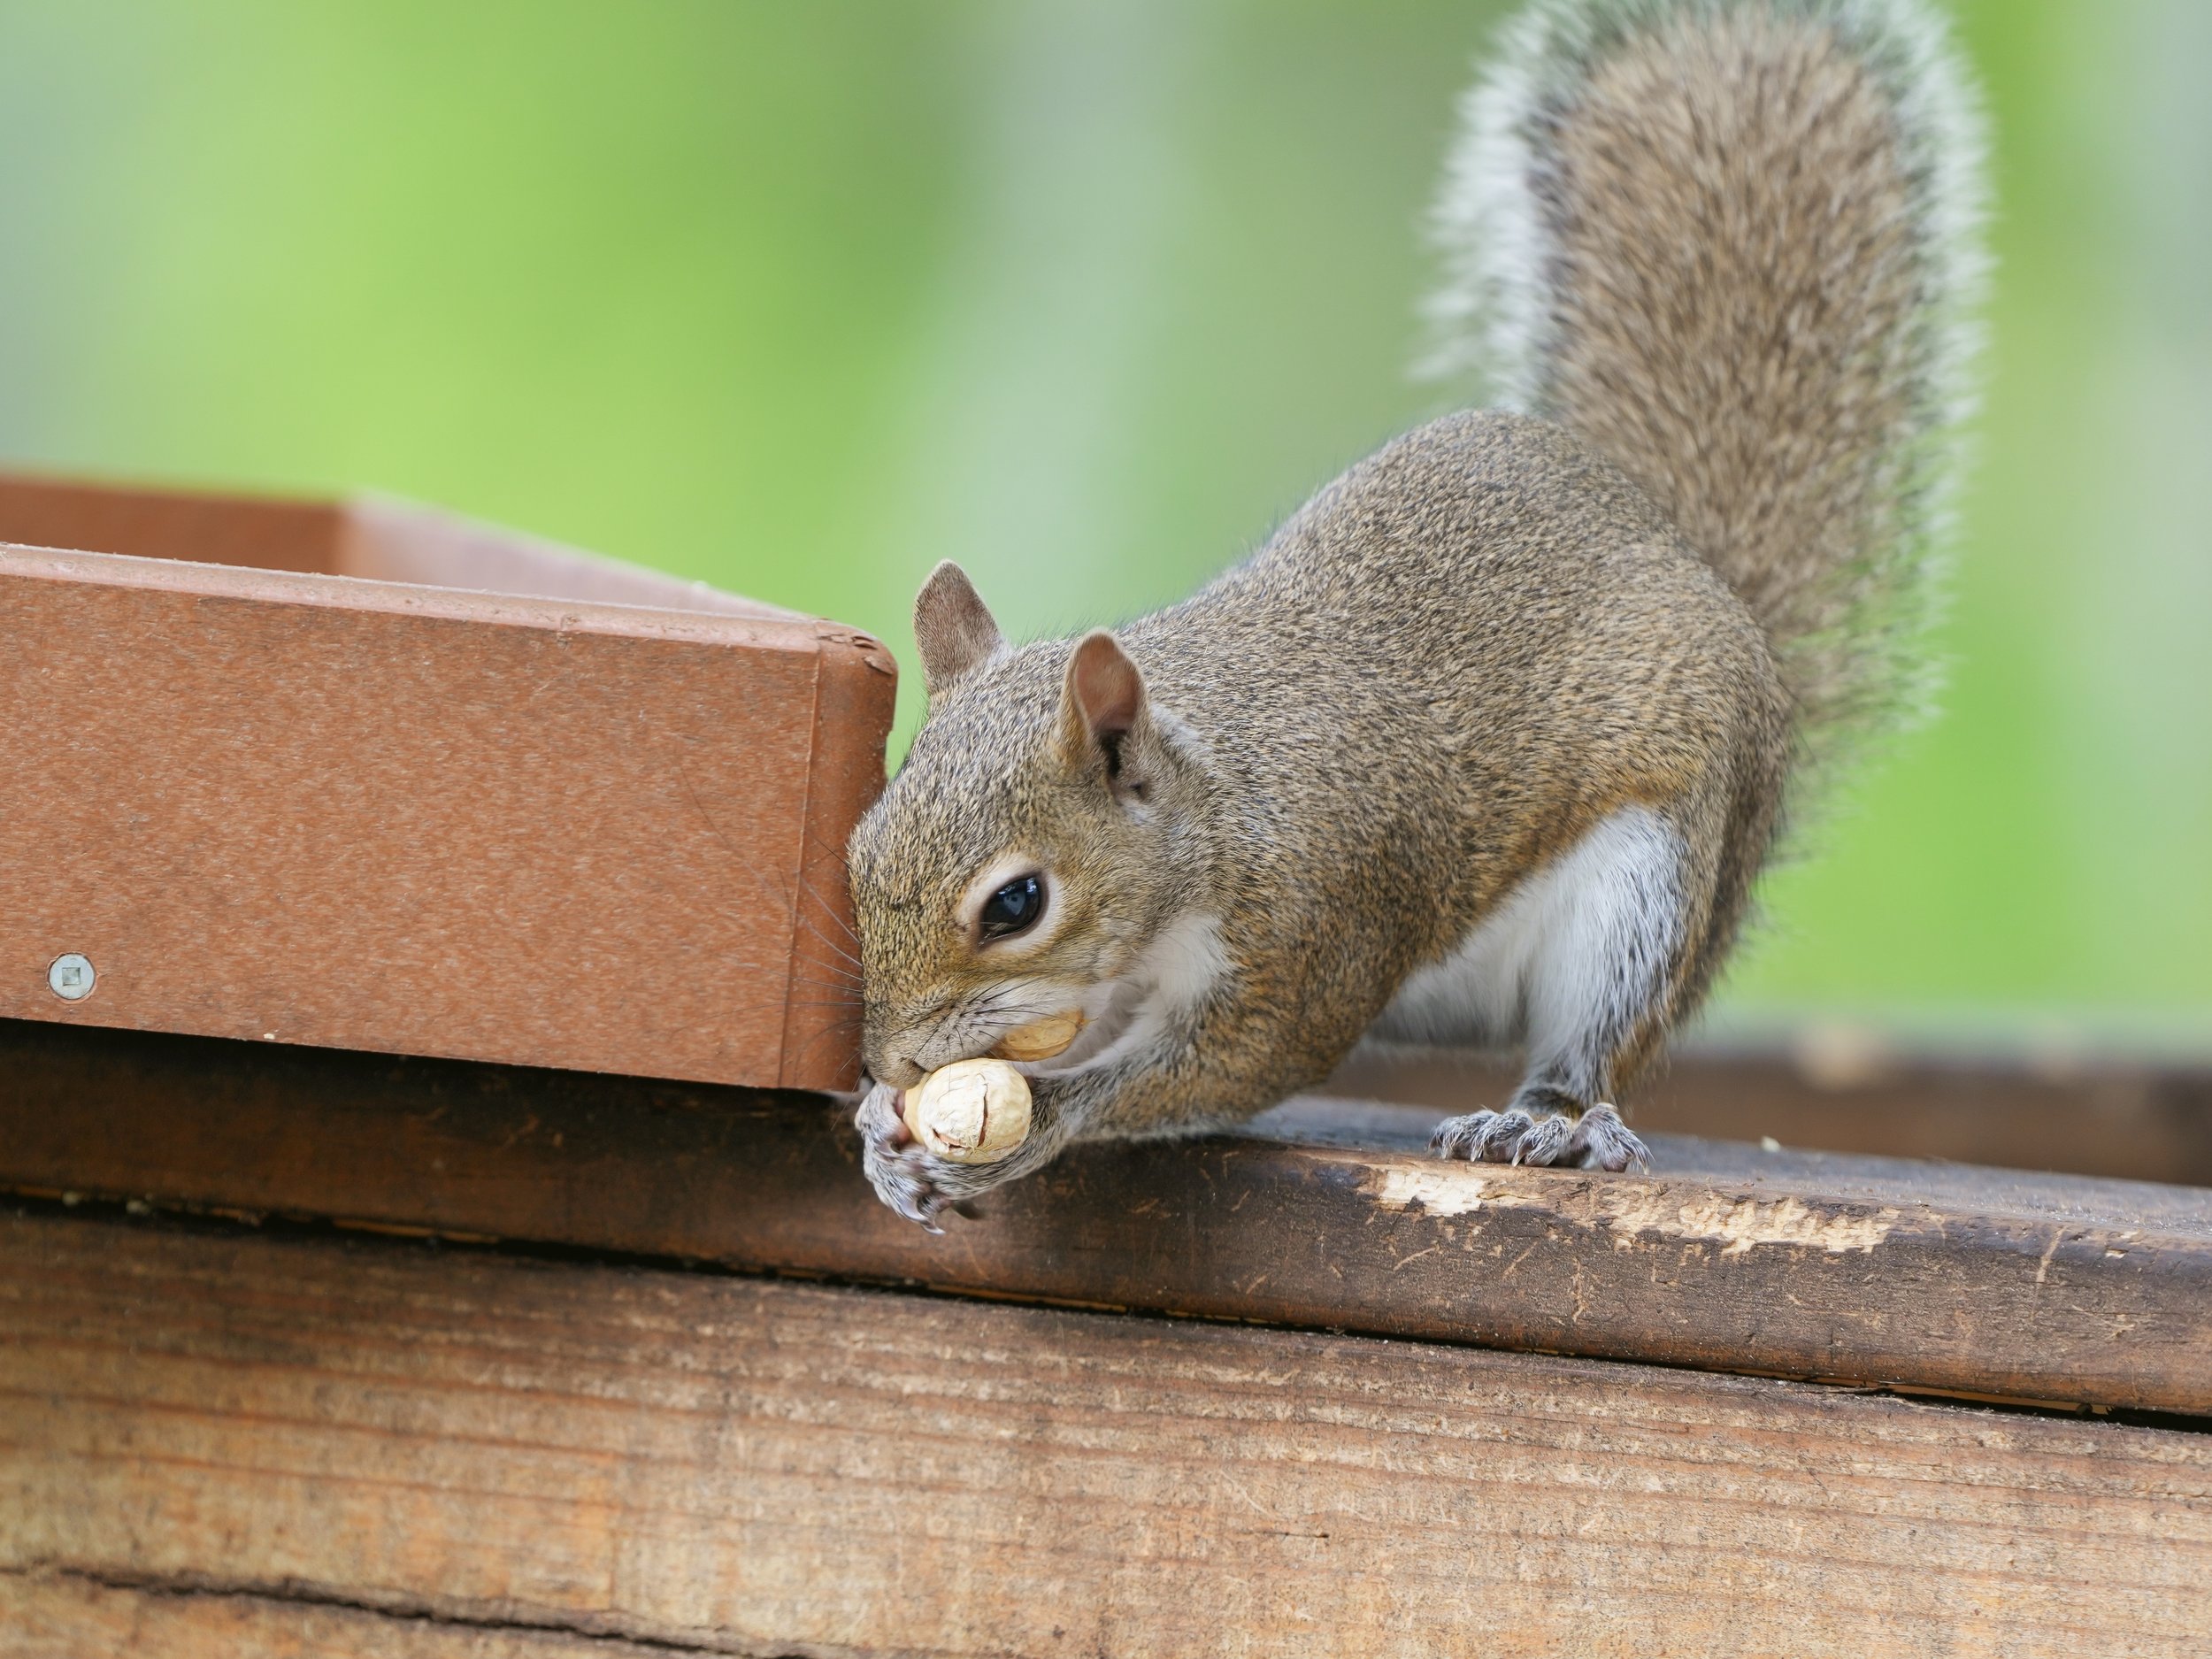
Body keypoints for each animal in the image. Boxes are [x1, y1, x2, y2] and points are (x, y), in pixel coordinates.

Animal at [847, 0, 1986, 1227]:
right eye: (857, 846)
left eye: (1016, 904)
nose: (892, 1062)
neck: (1210, 817)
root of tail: (1712, 586)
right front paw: (879, 1131)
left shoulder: (1309, 934)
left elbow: (1220, 1067)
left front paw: (1038, 1121)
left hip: (1649, 889)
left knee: (1594, 1050)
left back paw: (1549, 1123)